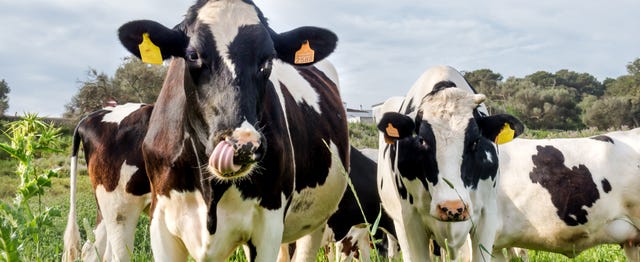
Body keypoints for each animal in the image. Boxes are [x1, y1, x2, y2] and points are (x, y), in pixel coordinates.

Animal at [117, 1, 352, 260]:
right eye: (192, 55)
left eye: (268, 60)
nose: (243, 144)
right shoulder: (160, 221)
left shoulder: (268, 222)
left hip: (315, 222)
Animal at [376, 65, 524, 262]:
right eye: (422, 140)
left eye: (475, 141)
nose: (452, 207)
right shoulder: (411, 219)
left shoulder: (487, 215)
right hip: (400, 225)